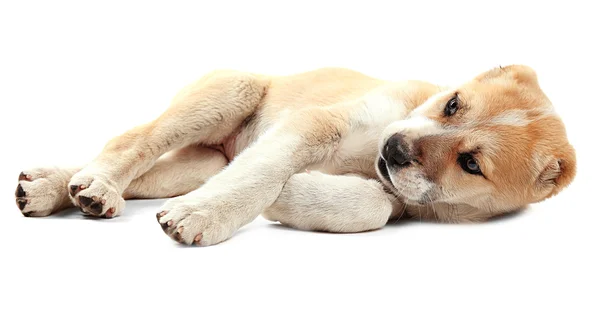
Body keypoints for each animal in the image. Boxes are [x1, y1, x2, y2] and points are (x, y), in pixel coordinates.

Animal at [15, 65, 576, 245]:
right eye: (453, 104)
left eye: (471, 164)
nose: (393, 149)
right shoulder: (318, 126)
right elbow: (263, 171)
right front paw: (203, 216)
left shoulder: (403, 195)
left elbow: (377, 203)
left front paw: (292, 198)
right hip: (229, 92)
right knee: (130, 142)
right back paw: (89, 185)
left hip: (200, 164)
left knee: (145, 172)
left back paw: (59, 189)